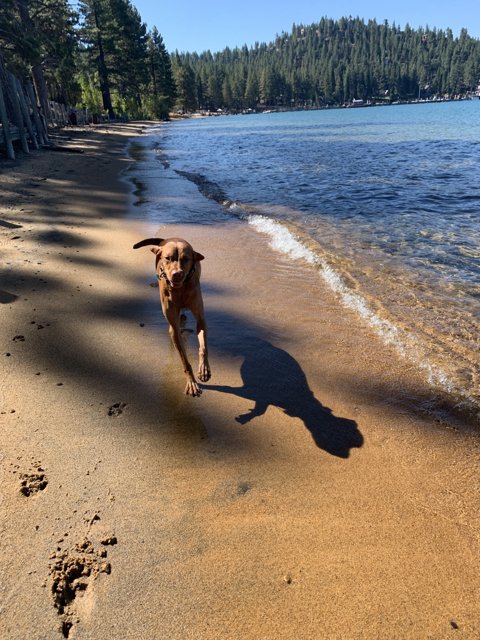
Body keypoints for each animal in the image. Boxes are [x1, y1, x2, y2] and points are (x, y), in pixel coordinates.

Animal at [134, 236, 211, 396]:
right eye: (168, 258)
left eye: (186, 259)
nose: (177, 274)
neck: (180, 289)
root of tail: (168, 239)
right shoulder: (174, 329)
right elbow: (184, 360)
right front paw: (191, 382)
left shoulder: (201, 319)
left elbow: (203, 346)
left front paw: (204, 369)